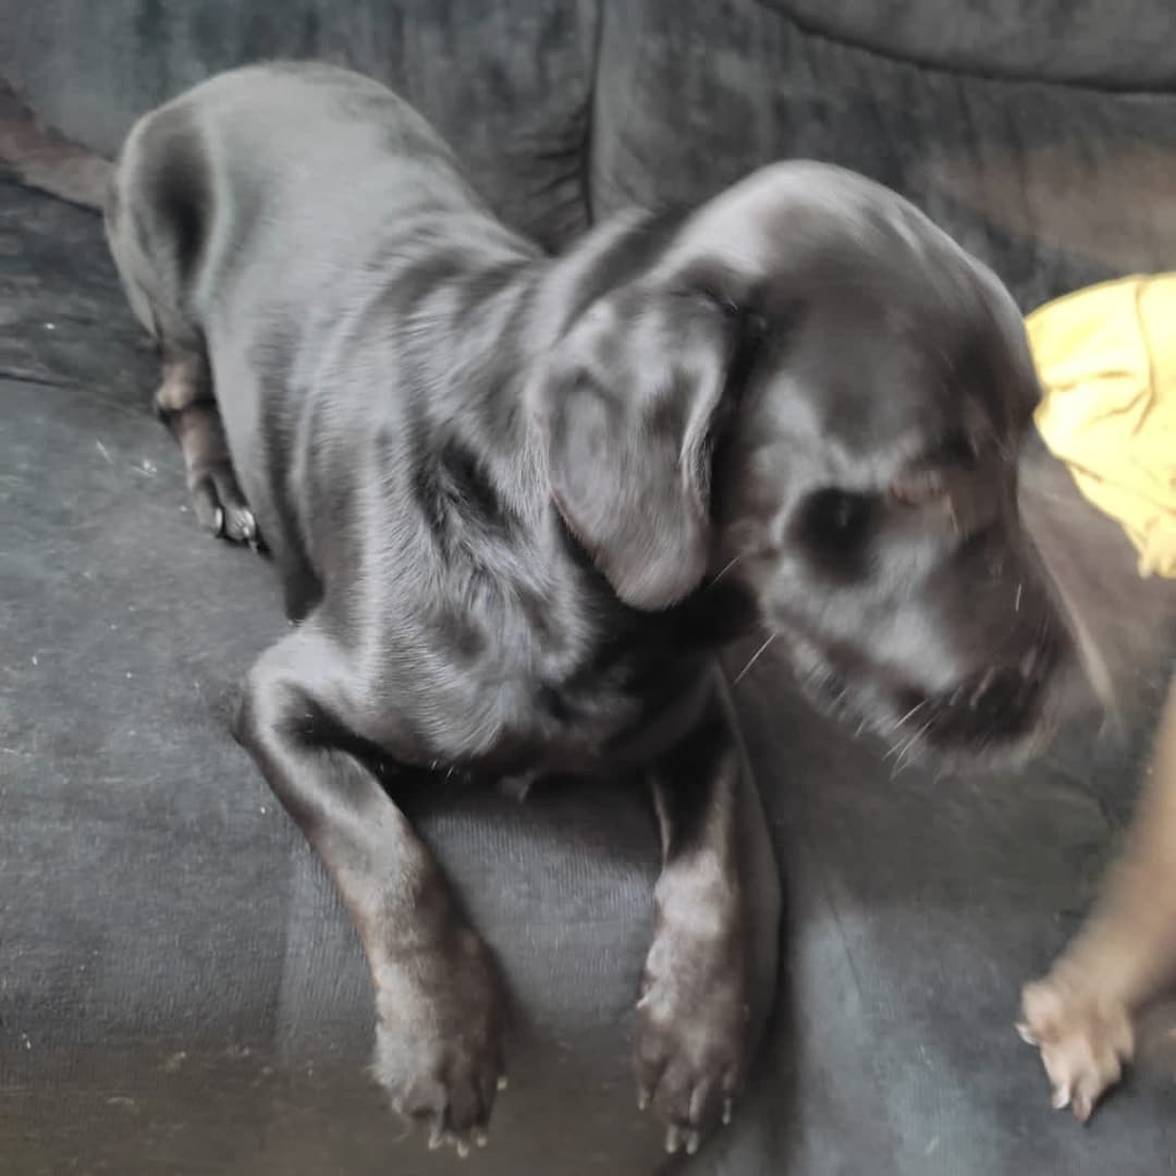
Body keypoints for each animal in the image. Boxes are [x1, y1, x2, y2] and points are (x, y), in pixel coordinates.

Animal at [105, 62, 1074, 1156]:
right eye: (916, 485)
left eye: (1027, 450)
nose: (1075, 701)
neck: (598, 608)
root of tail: (235, 77)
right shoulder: (281, 693)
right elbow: (383, 849)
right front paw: (442, 1036)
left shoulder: (701, 716)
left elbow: (723, 867)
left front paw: (696, 1038)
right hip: (161, 281)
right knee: (178, 389)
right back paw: (222, 482)